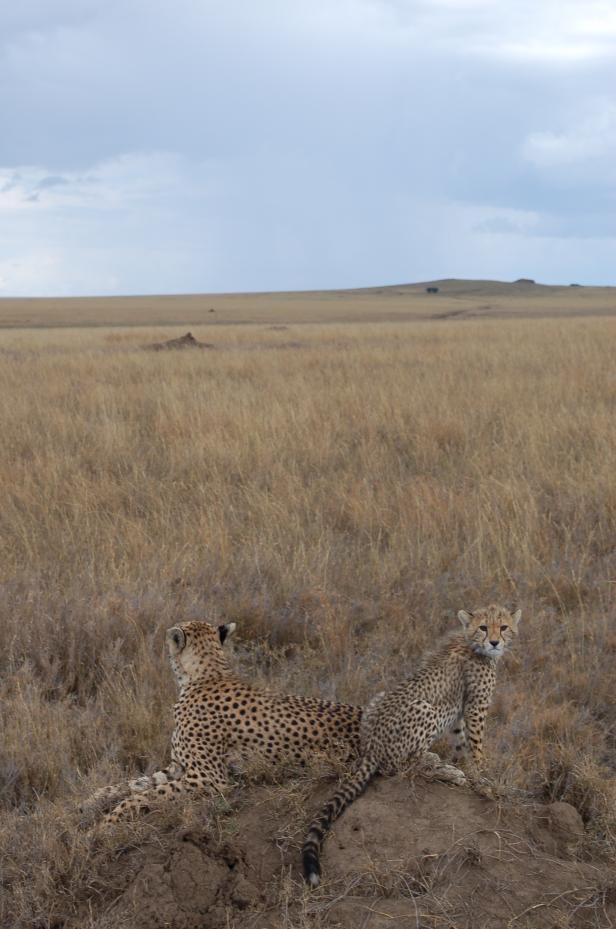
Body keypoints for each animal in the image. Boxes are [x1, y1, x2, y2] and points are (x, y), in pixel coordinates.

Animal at [82, 620, 360, 824]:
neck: (208, 674)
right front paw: (92, 800)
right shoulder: (177, 767)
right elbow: (134, 783)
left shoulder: (209, 779)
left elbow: (145, 795)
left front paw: (107, 823)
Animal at [302, 600, 520, 884]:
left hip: (379, 698)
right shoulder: (475, 708)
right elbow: (477, 748)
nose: (494, 642)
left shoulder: (459, 713)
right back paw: (442, 768)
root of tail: (370, 747)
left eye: (503, 627)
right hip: (425, 708)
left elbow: (462, 744)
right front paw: (484, 779)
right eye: (483, 627)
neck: (472, 643)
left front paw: (468, 770)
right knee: (402, 767)